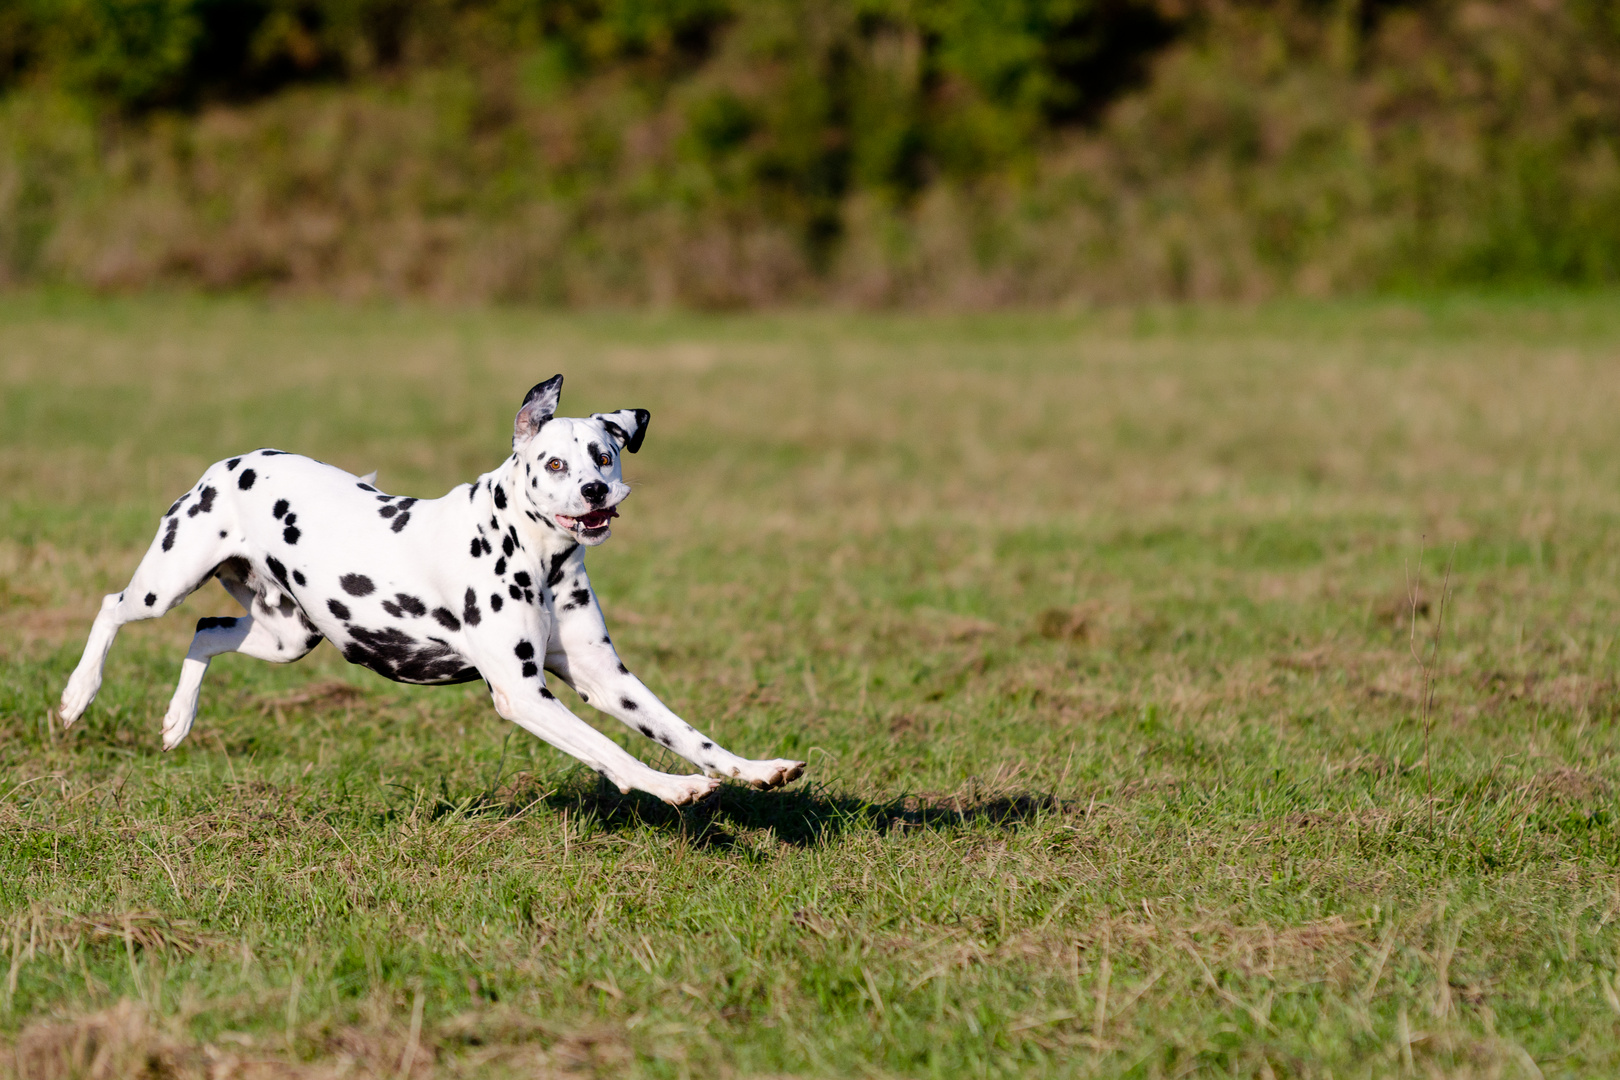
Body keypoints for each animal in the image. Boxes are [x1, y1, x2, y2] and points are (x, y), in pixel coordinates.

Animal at [59, 375, 806, 806]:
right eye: (553, 463)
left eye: (605, 453)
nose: (596, 491)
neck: (537, 555)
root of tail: (232, 461)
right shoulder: (522, 694)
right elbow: (613, 751)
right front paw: (673, 788)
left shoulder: (605, 679)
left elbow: (685, 732)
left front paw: (756, 769)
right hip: (167, 583)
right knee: (111, 608)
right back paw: (75, 697)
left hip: (288, 635)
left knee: (205, 632)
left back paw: (176, 721)